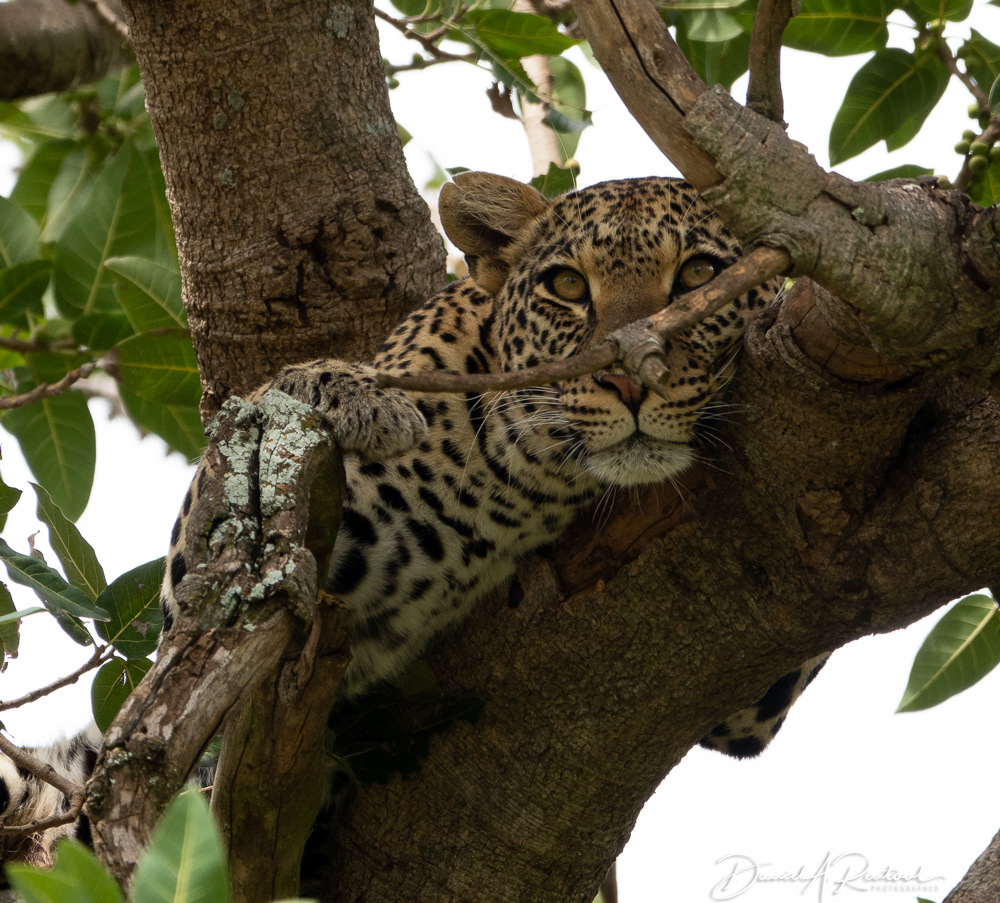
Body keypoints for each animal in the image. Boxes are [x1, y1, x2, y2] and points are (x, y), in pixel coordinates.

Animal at [0, 173, 829, 871]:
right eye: (567, 285)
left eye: (699, 274)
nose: (629, 378)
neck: (527, 486)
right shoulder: (193, 582)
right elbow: (241, 517)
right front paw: (348, 393)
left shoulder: (743, 710)